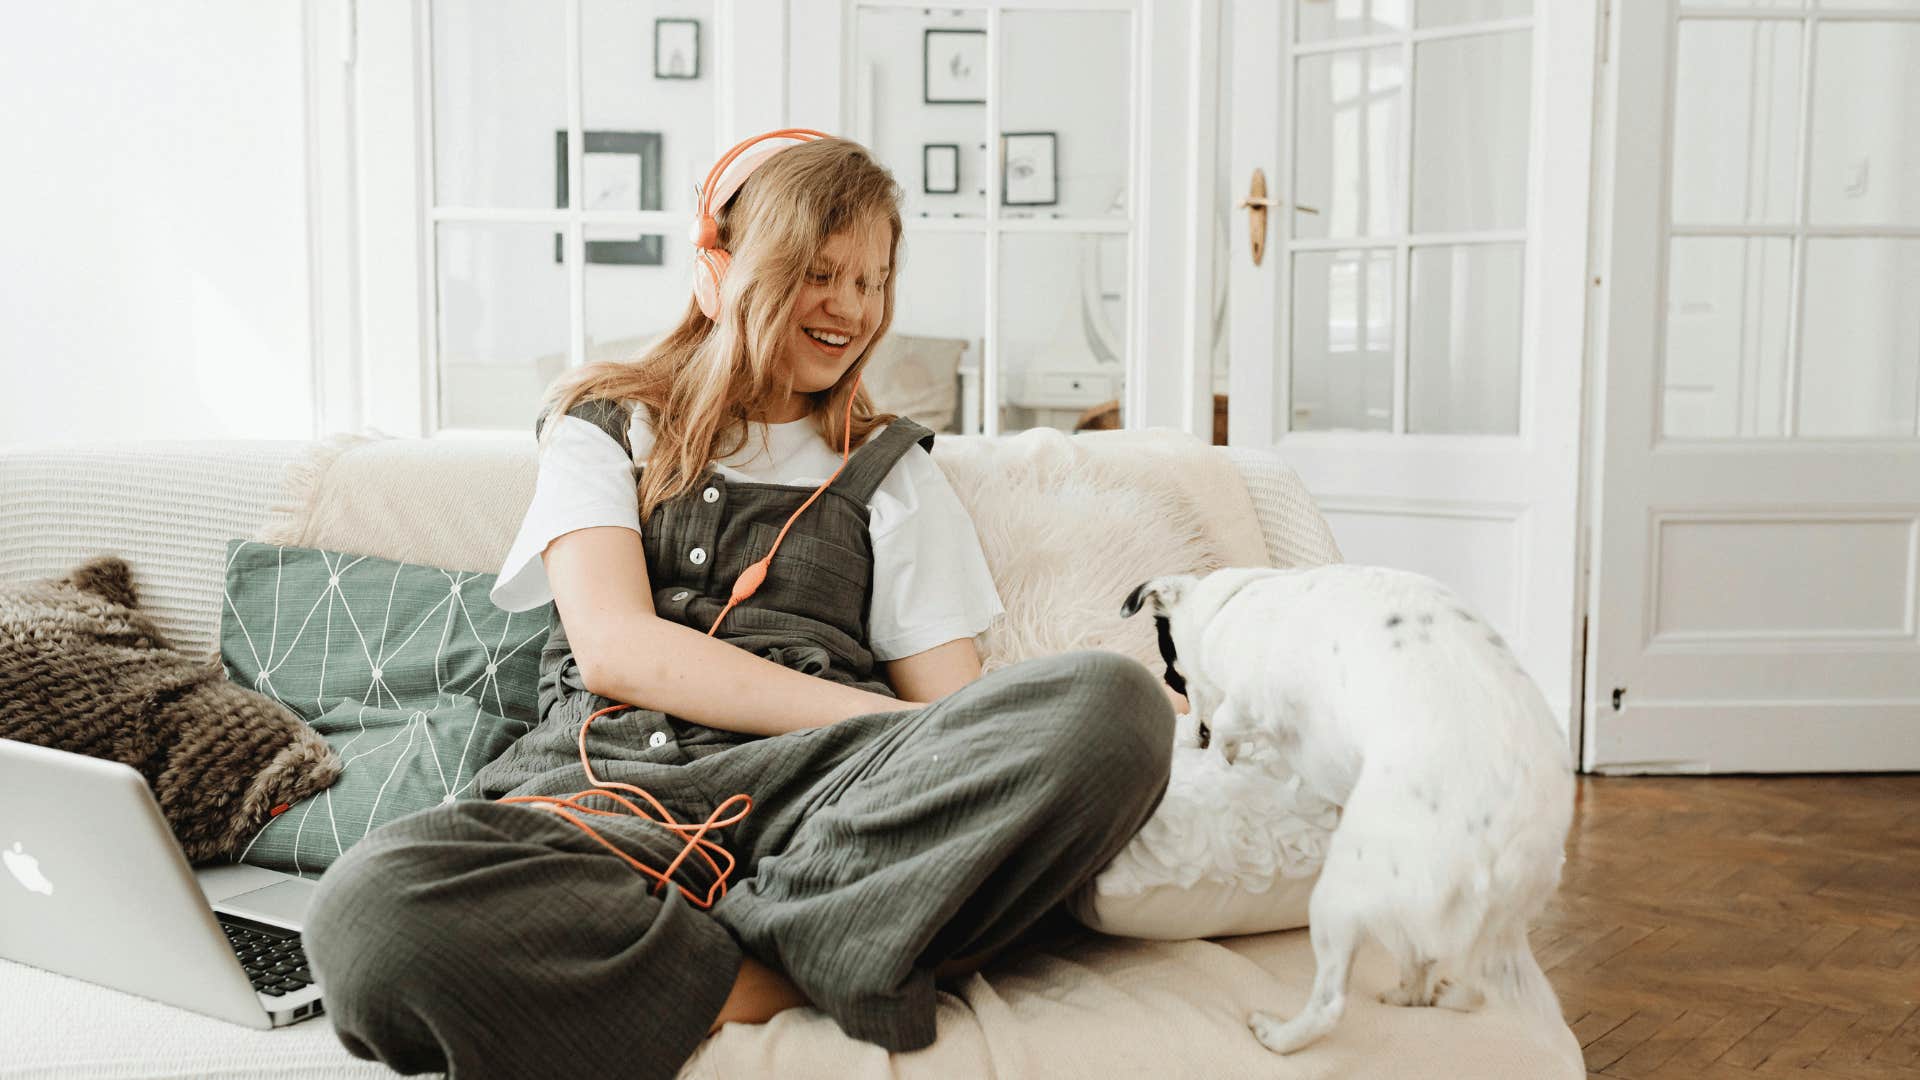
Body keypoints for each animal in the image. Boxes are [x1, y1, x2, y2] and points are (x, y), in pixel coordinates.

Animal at [1121, 564, 1566, 1053]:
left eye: (1171, 677)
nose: (1192, 731)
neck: (1233, 601)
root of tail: (1506, 851)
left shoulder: (1245, 704)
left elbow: (1226, 728)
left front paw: (1214, 750)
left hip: (1340, 893)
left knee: (1333, 1002)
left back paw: (1278, 1034)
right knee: (1455, 980)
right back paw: (1423, 995)